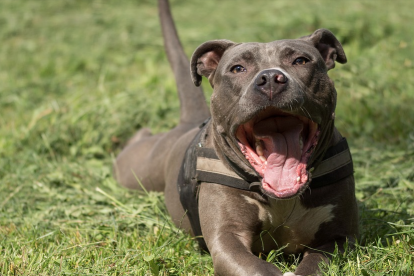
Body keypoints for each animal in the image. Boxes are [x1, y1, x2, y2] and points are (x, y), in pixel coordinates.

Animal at [114, 1, 360, 274]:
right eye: (238, 68)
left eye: (300, 60)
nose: (271, 78)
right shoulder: (226, 240)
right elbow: (256, 267)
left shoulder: (339, 237)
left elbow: (316, 263)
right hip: (136, 170)